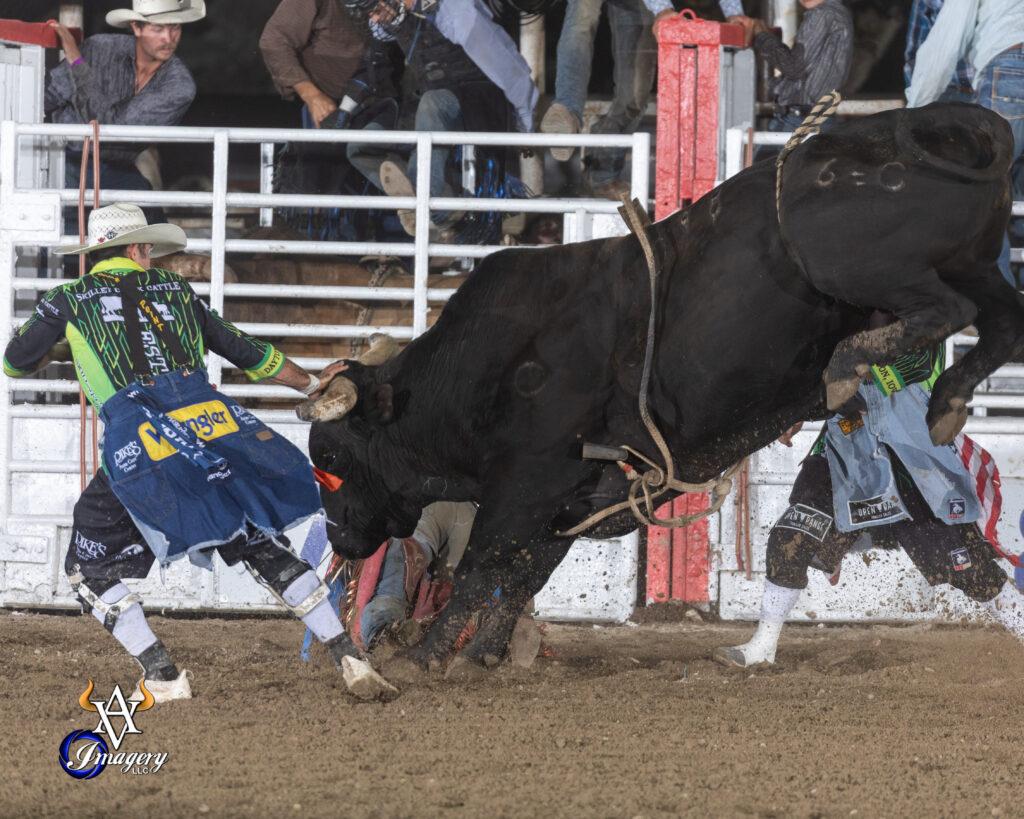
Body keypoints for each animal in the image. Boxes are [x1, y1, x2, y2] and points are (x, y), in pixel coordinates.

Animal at [303, 102, 1024, 667]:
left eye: (330, 458)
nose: (337, 542)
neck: (479, 369)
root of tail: (940, 120)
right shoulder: (563, 508)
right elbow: (518, 580)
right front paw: (483, 656)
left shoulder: (524, 485)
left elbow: (483, 570)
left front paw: (426, 657)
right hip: (977, 264)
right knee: (1000, 323)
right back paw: (946, 402)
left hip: (855, 265)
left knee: (947, 310)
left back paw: (852, 366)